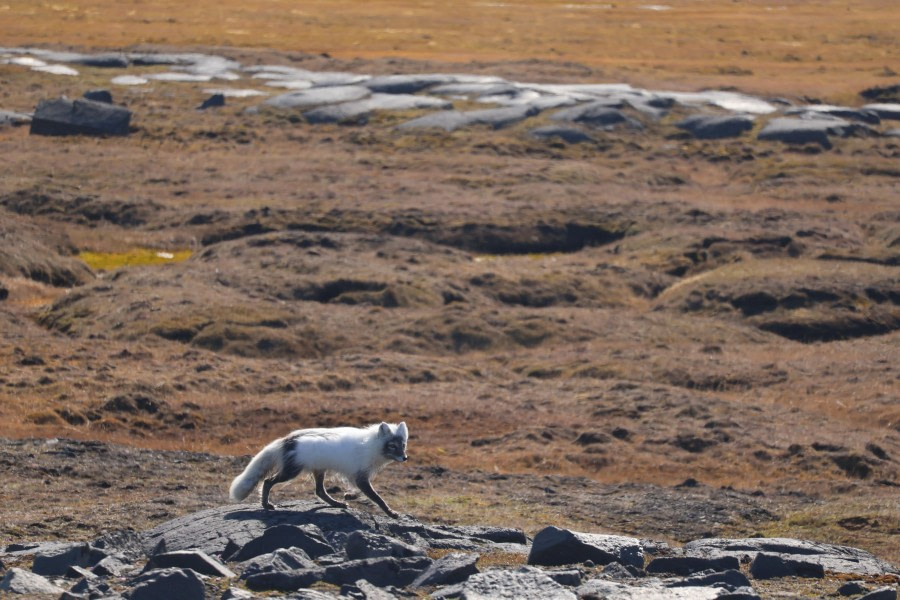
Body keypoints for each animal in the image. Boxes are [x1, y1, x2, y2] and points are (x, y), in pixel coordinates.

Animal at [229, 424, 408, 516]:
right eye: (392, 446)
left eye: (403, 445)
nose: (405, 458)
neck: (371, 445)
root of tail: (286, 440)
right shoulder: (360, 477)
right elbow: (378, 498)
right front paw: (391, 513)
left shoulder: (357, 476)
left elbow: (362, 492)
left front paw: (349, 496)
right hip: (291, 472)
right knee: (267, 481)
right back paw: (266, 505)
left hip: (319, 470)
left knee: (320, 491)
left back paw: (336, 504)